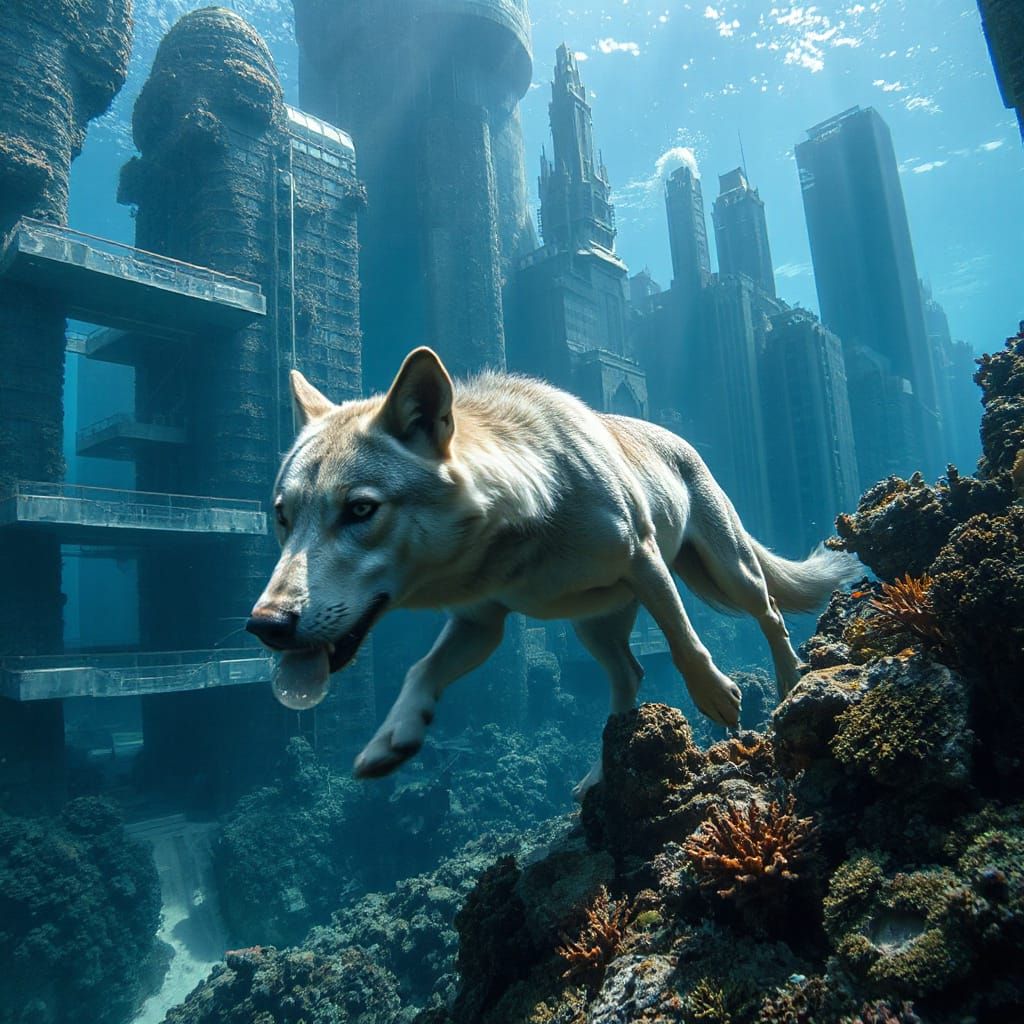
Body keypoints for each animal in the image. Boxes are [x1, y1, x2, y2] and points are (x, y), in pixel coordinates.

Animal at [247, 347, 857, 795]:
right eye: (282, 517)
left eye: (360, 510)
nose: (265, 625)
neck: (525, 520)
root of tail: (680, 440)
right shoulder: (480, 625)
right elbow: (420, 671)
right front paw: (392, 737)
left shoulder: (643, 559)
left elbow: (686, 644)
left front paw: (716, 697)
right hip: (593, 626)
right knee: (630, 676)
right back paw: (601, 773)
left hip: (726, 572)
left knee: (770, 611)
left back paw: (791, 683)